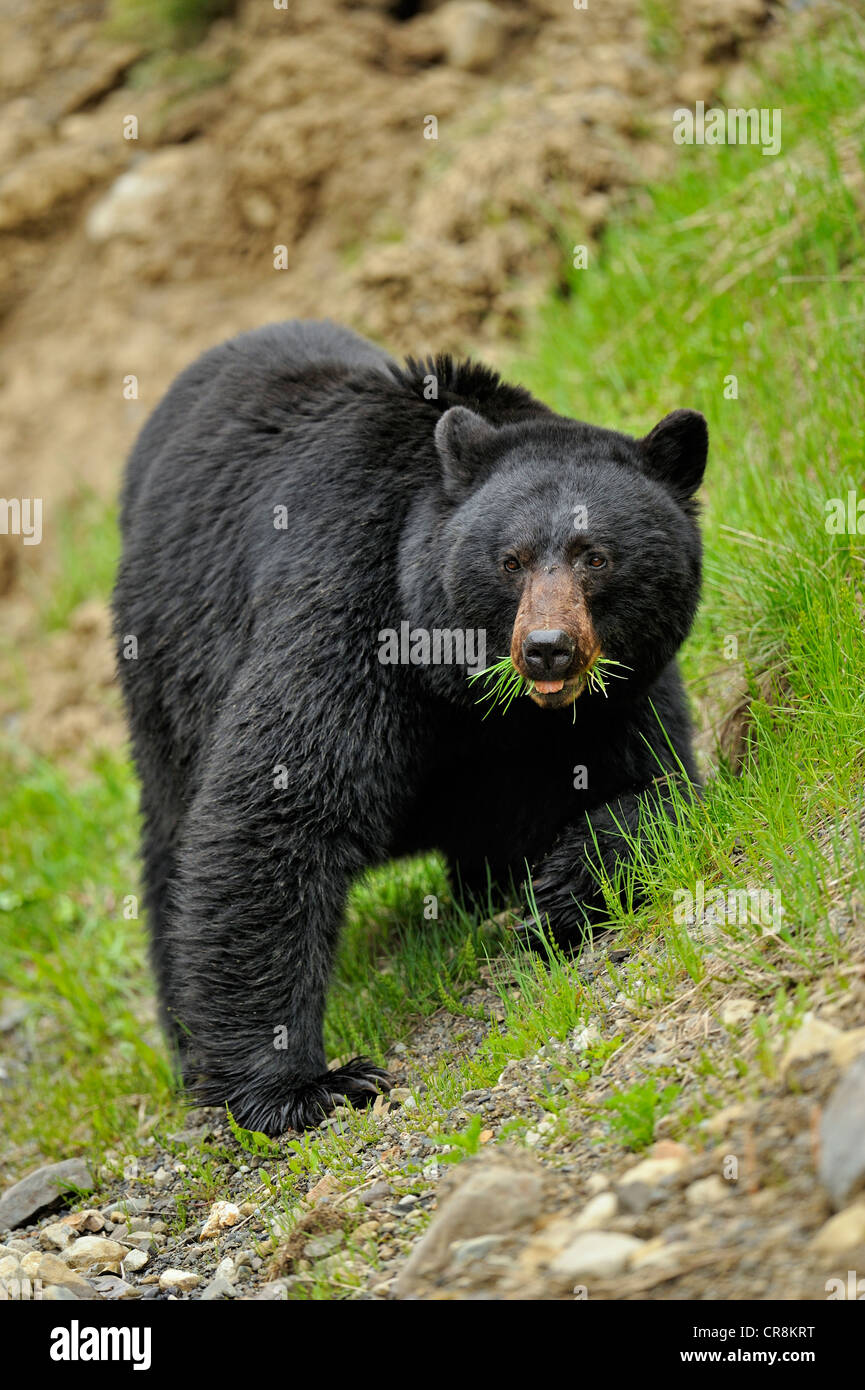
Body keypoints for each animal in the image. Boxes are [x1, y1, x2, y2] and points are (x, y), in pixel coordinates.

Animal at [113, 319, 712, 1134]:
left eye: (596, 556)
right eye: (510, 560)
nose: (546, 648)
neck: (475, 698)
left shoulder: (621, 692)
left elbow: (664, 783)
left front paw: (564, 884)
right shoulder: (354, 604)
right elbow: (278, 803)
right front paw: (303, 1084)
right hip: (166, 662)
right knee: (172, 837)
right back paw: (185, 1043)